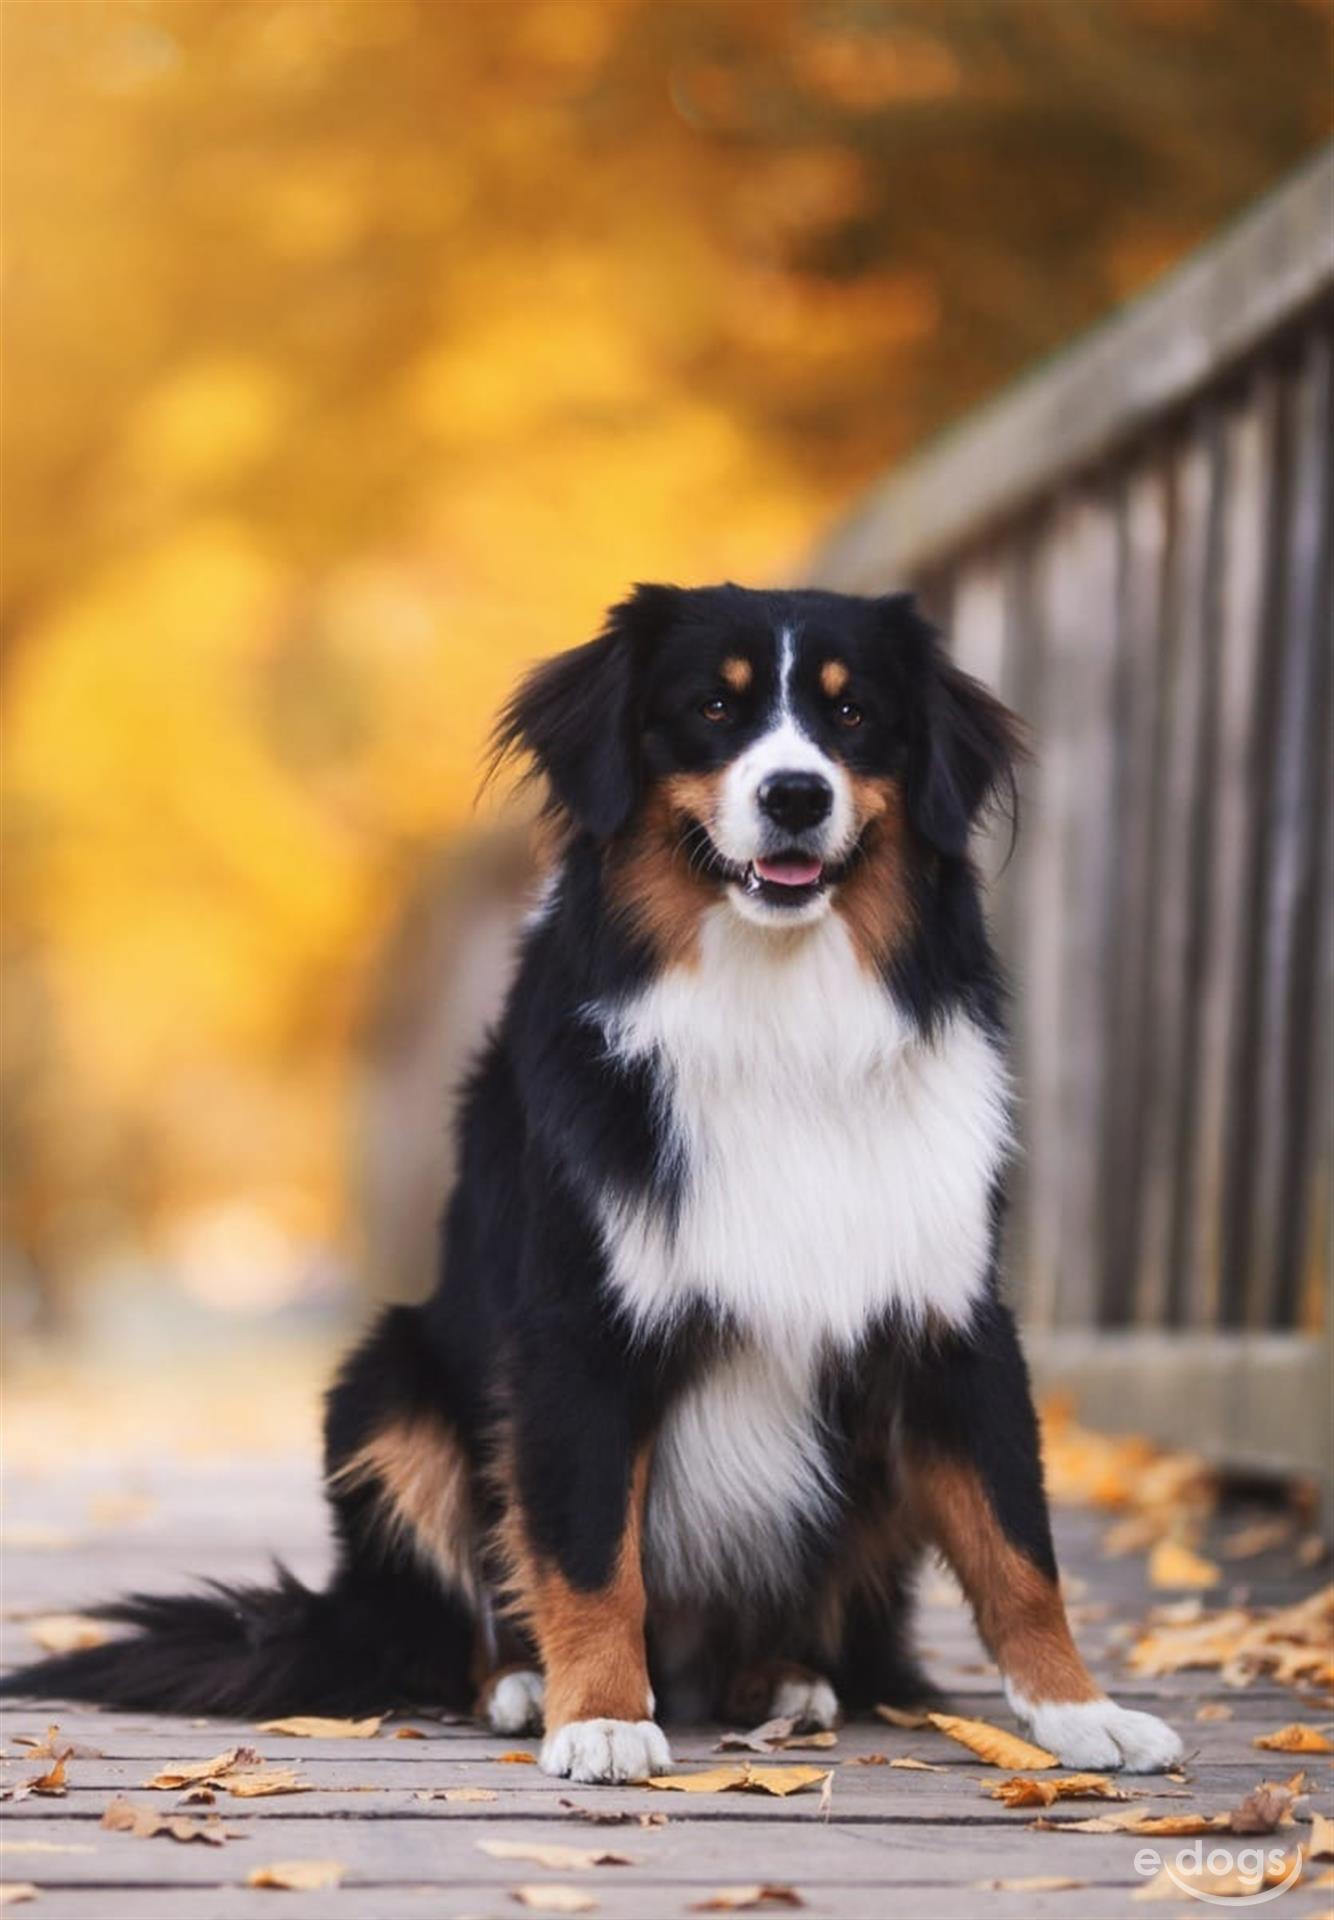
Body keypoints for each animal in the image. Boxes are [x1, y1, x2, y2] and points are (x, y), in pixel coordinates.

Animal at [2, 583, 1190, 1781]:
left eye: (854, 716)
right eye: (712, 707)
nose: (796, 794)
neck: (778, 1017)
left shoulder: (950, 1318)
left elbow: (1016, 1542)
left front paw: (1080, 1712)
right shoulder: (579, 1328)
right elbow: (586, 1549)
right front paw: (603, 1717)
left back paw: (784, 1680)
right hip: (383, 1385)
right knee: (464, 1613)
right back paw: (524, 1685)